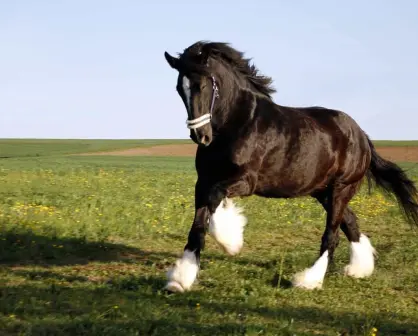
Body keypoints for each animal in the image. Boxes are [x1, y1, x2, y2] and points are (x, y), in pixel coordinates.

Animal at [162, 40, 418, 292]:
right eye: (179, 88)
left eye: (202, 85)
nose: (200, 136)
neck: (238, 123)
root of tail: (362, 135)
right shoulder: (203, 181)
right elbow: (198, 226)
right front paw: (179, 280)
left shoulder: (246, 181)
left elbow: (214, 202)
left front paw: (231, 241)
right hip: (324, 192)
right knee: (351, 223)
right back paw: (359, 269)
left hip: (342, 188)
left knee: (332, 234)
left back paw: (309, 280)